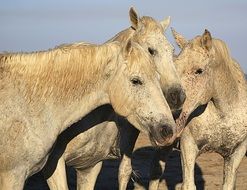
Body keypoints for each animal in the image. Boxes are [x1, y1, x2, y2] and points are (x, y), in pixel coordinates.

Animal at [149, 29, 247, 190]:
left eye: (199, 71)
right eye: (175, 67)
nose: (169, 109)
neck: (222, 114)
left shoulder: (236, 153)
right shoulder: (188, 147)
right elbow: (189, 185)